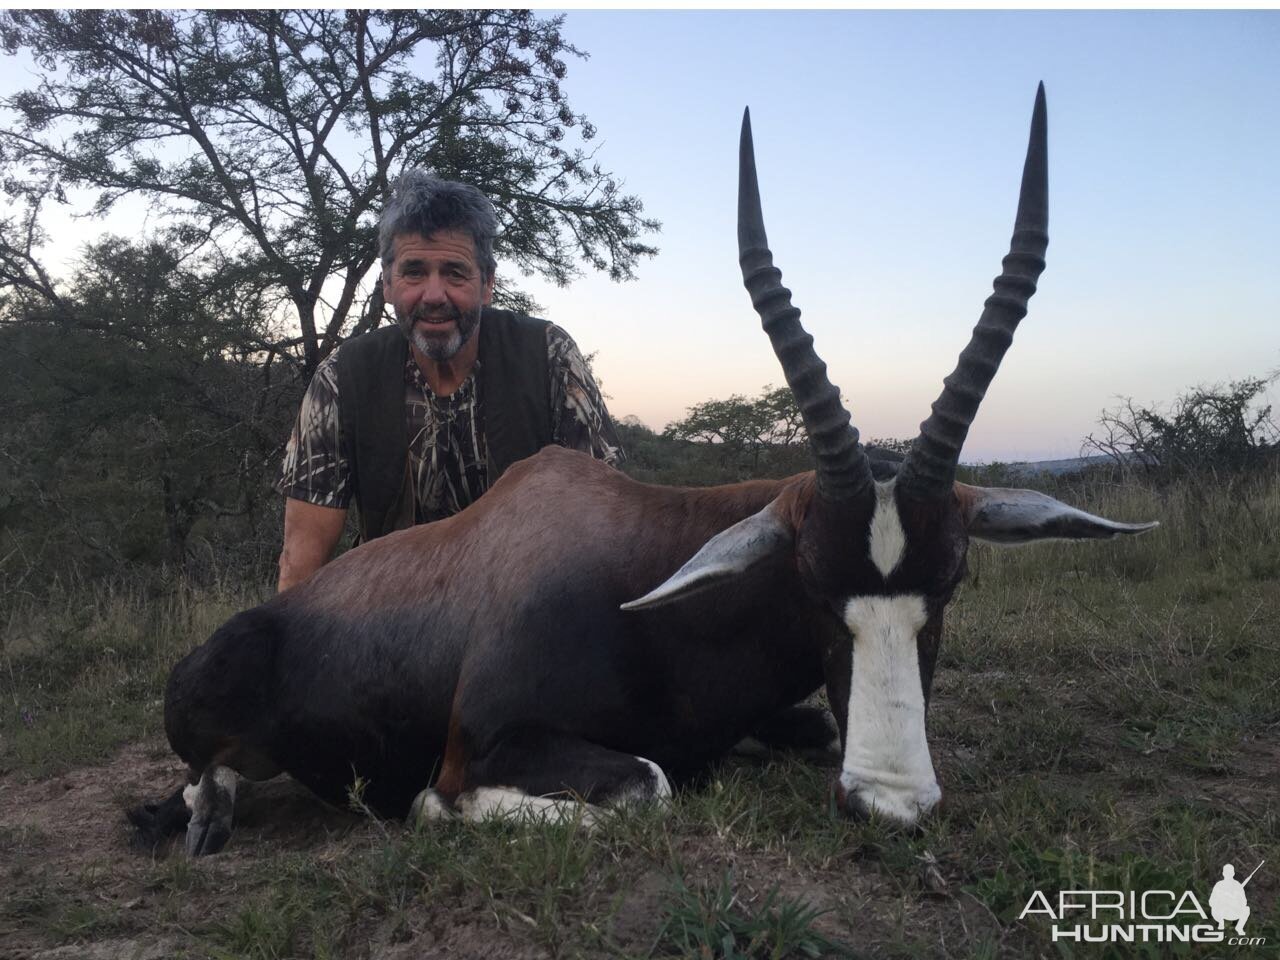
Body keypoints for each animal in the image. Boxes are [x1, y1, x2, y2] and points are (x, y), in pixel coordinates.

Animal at [135, 86, 1157, 855]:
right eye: (813, 585)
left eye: (949, 583)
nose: (889, 802)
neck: (648, 589)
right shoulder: (482, 749)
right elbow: (642, 788)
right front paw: (423, 809)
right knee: (204, 780)